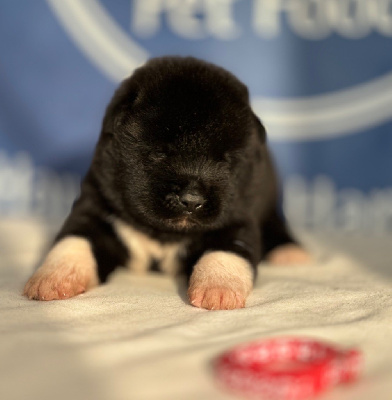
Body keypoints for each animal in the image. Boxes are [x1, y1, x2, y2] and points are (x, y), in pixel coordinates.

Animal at [23, 56, 310, 310]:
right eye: (160, 152)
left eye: (225, 159)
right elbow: (75, 240)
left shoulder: (238, 216)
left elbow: (227, 250)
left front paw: (218, 288)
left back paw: (290, 252)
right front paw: (52, 278)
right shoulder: (97, 205)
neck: (163, 233)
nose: (192, 200)